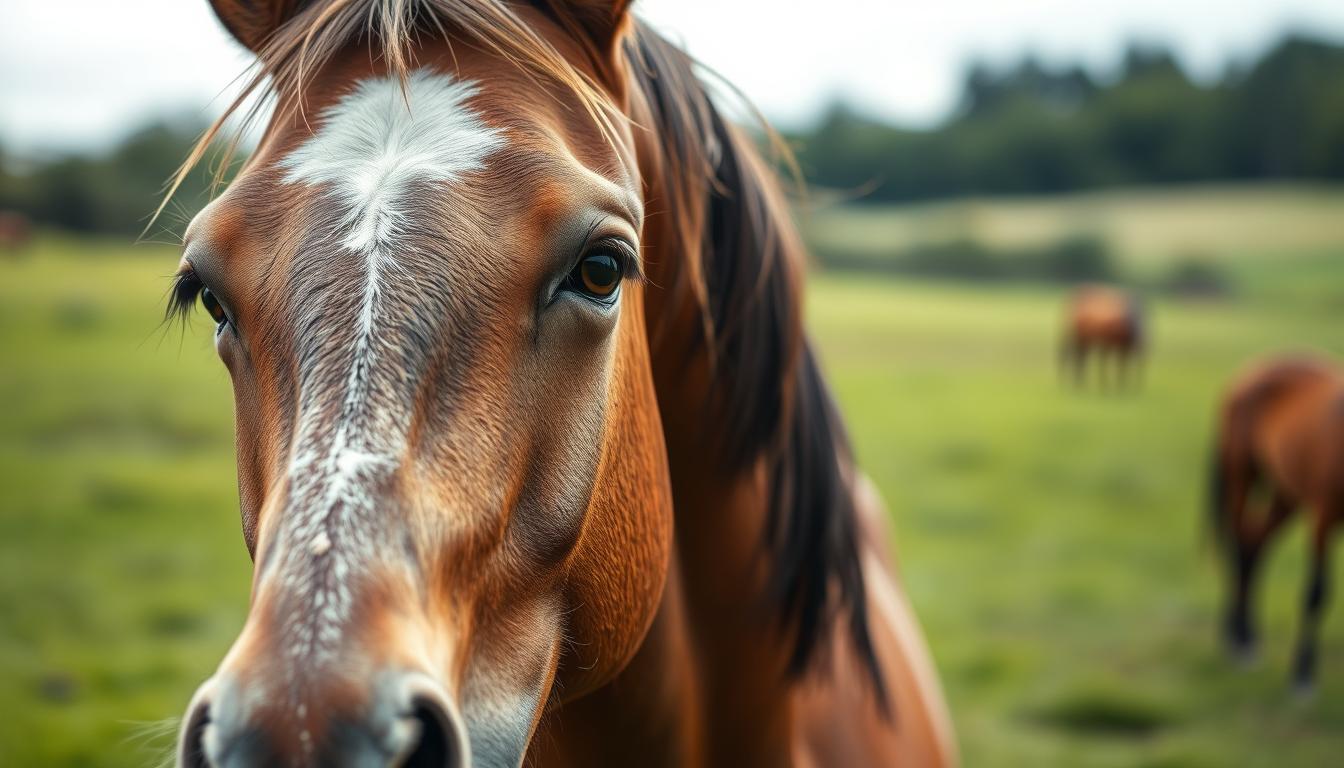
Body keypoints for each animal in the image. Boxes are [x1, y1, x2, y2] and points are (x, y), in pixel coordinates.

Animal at [1210, 355, 1344, 691]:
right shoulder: (1324, 515)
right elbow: (1317, 593)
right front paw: (1303, 673)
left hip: (1286, 493)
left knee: (1254, 544)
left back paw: (1248, 635)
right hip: (1242, 474)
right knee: (1238, 543)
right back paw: (1237, 636)